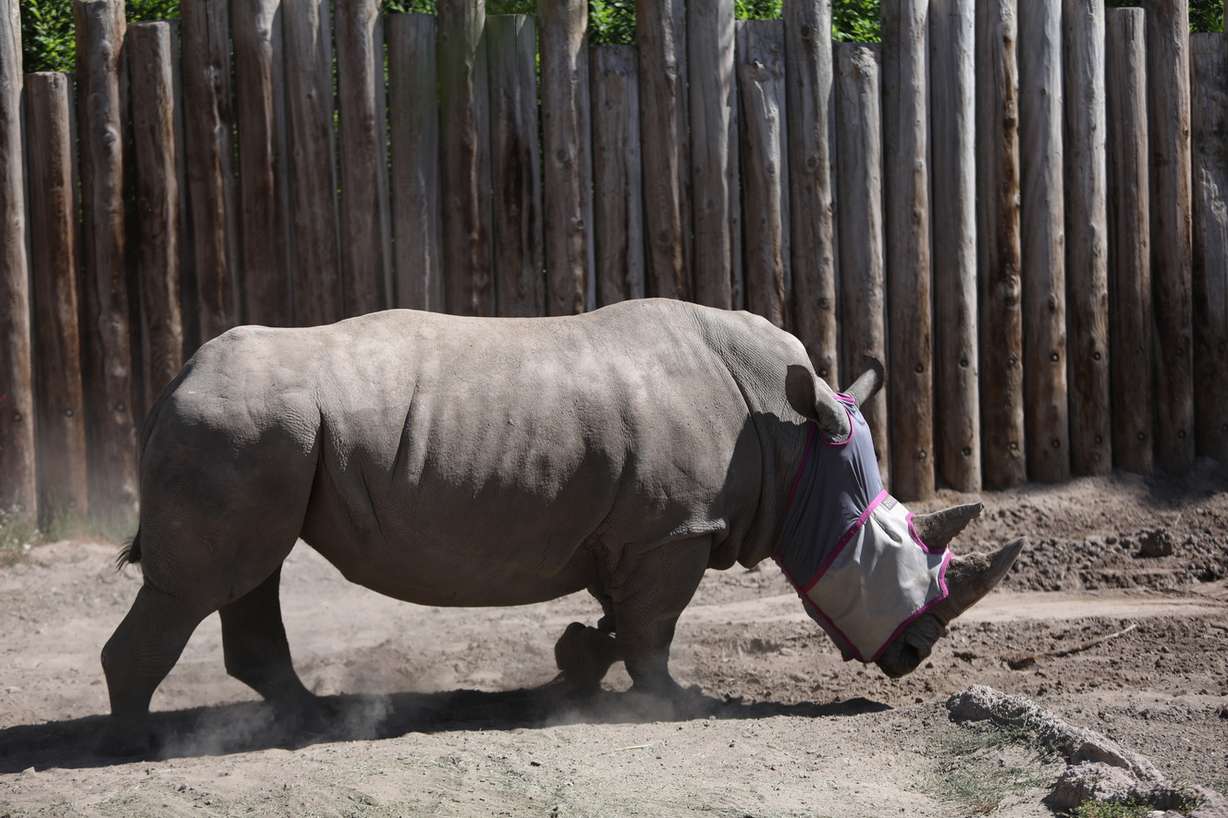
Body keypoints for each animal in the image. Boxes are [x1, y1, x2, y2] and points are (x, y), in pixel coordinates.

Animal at [101, 298, 1021, 752]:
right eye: (903, 555)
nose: (915, 656)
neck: (797, 453)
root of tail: (174, 378)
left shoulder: (641, 534)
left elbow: (623, 619)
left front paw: (575, 665)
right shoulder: (673, 531)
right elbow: (654, 627)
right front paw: (678, 706)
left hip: (263, 435)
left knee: (249, 573)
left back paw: (312, 719)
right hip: (240, 427)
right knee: (202, 583)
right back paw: (139, 743)